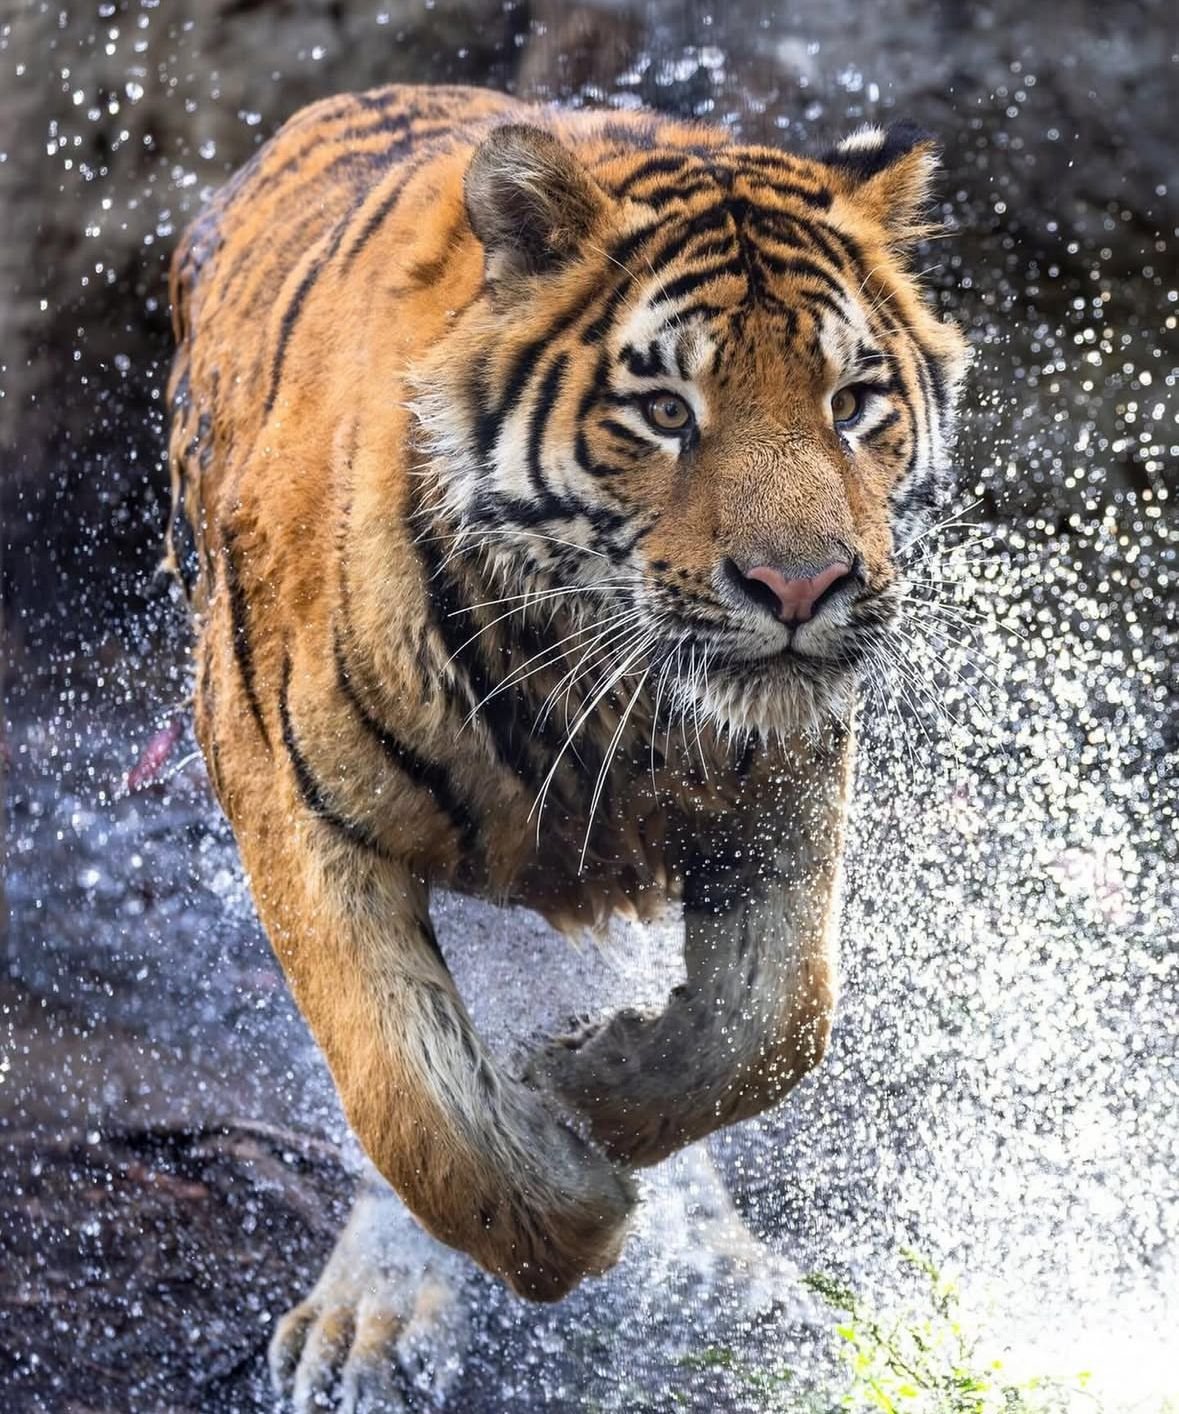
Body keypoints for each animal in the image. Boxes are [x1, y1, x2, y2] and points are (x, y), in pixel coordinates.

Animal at [165, 83, 966, 1409]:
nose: (804, 588)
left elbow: (770, 1024)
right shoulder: (292, 804)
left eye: (852, 401)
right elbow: (412, 1100)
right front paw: (565, 1209)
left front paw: (583, 1087)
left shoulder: (788, 791)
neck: (594, 683)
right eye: (664, 412)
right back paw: (370, 1319)